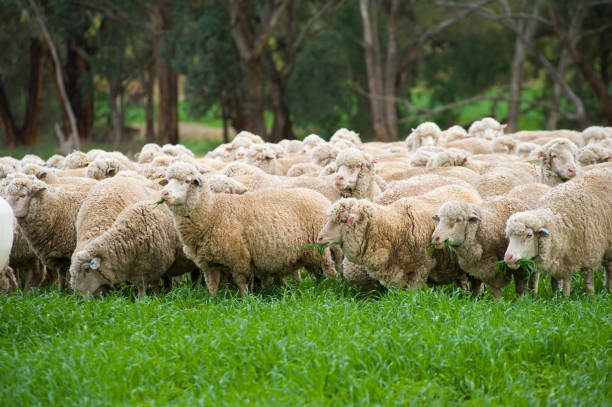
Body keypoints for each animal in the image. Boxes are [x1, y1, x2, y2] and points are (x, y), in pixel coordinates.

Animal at [158, 162, 338, 296]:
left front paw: (246, 301)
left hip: (320, 249)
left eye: (187, 181)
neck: (211, 212)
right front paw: (213, 302)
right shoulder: (208, 264)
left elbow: (241, 283)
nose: (164, 193)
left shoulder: (239, 258)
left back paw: (332, 288)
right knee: (317, 273)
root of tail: (320, 197)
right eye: (168, 180)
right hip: (308, 253)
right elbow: (212, 286)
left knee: (329, 270)